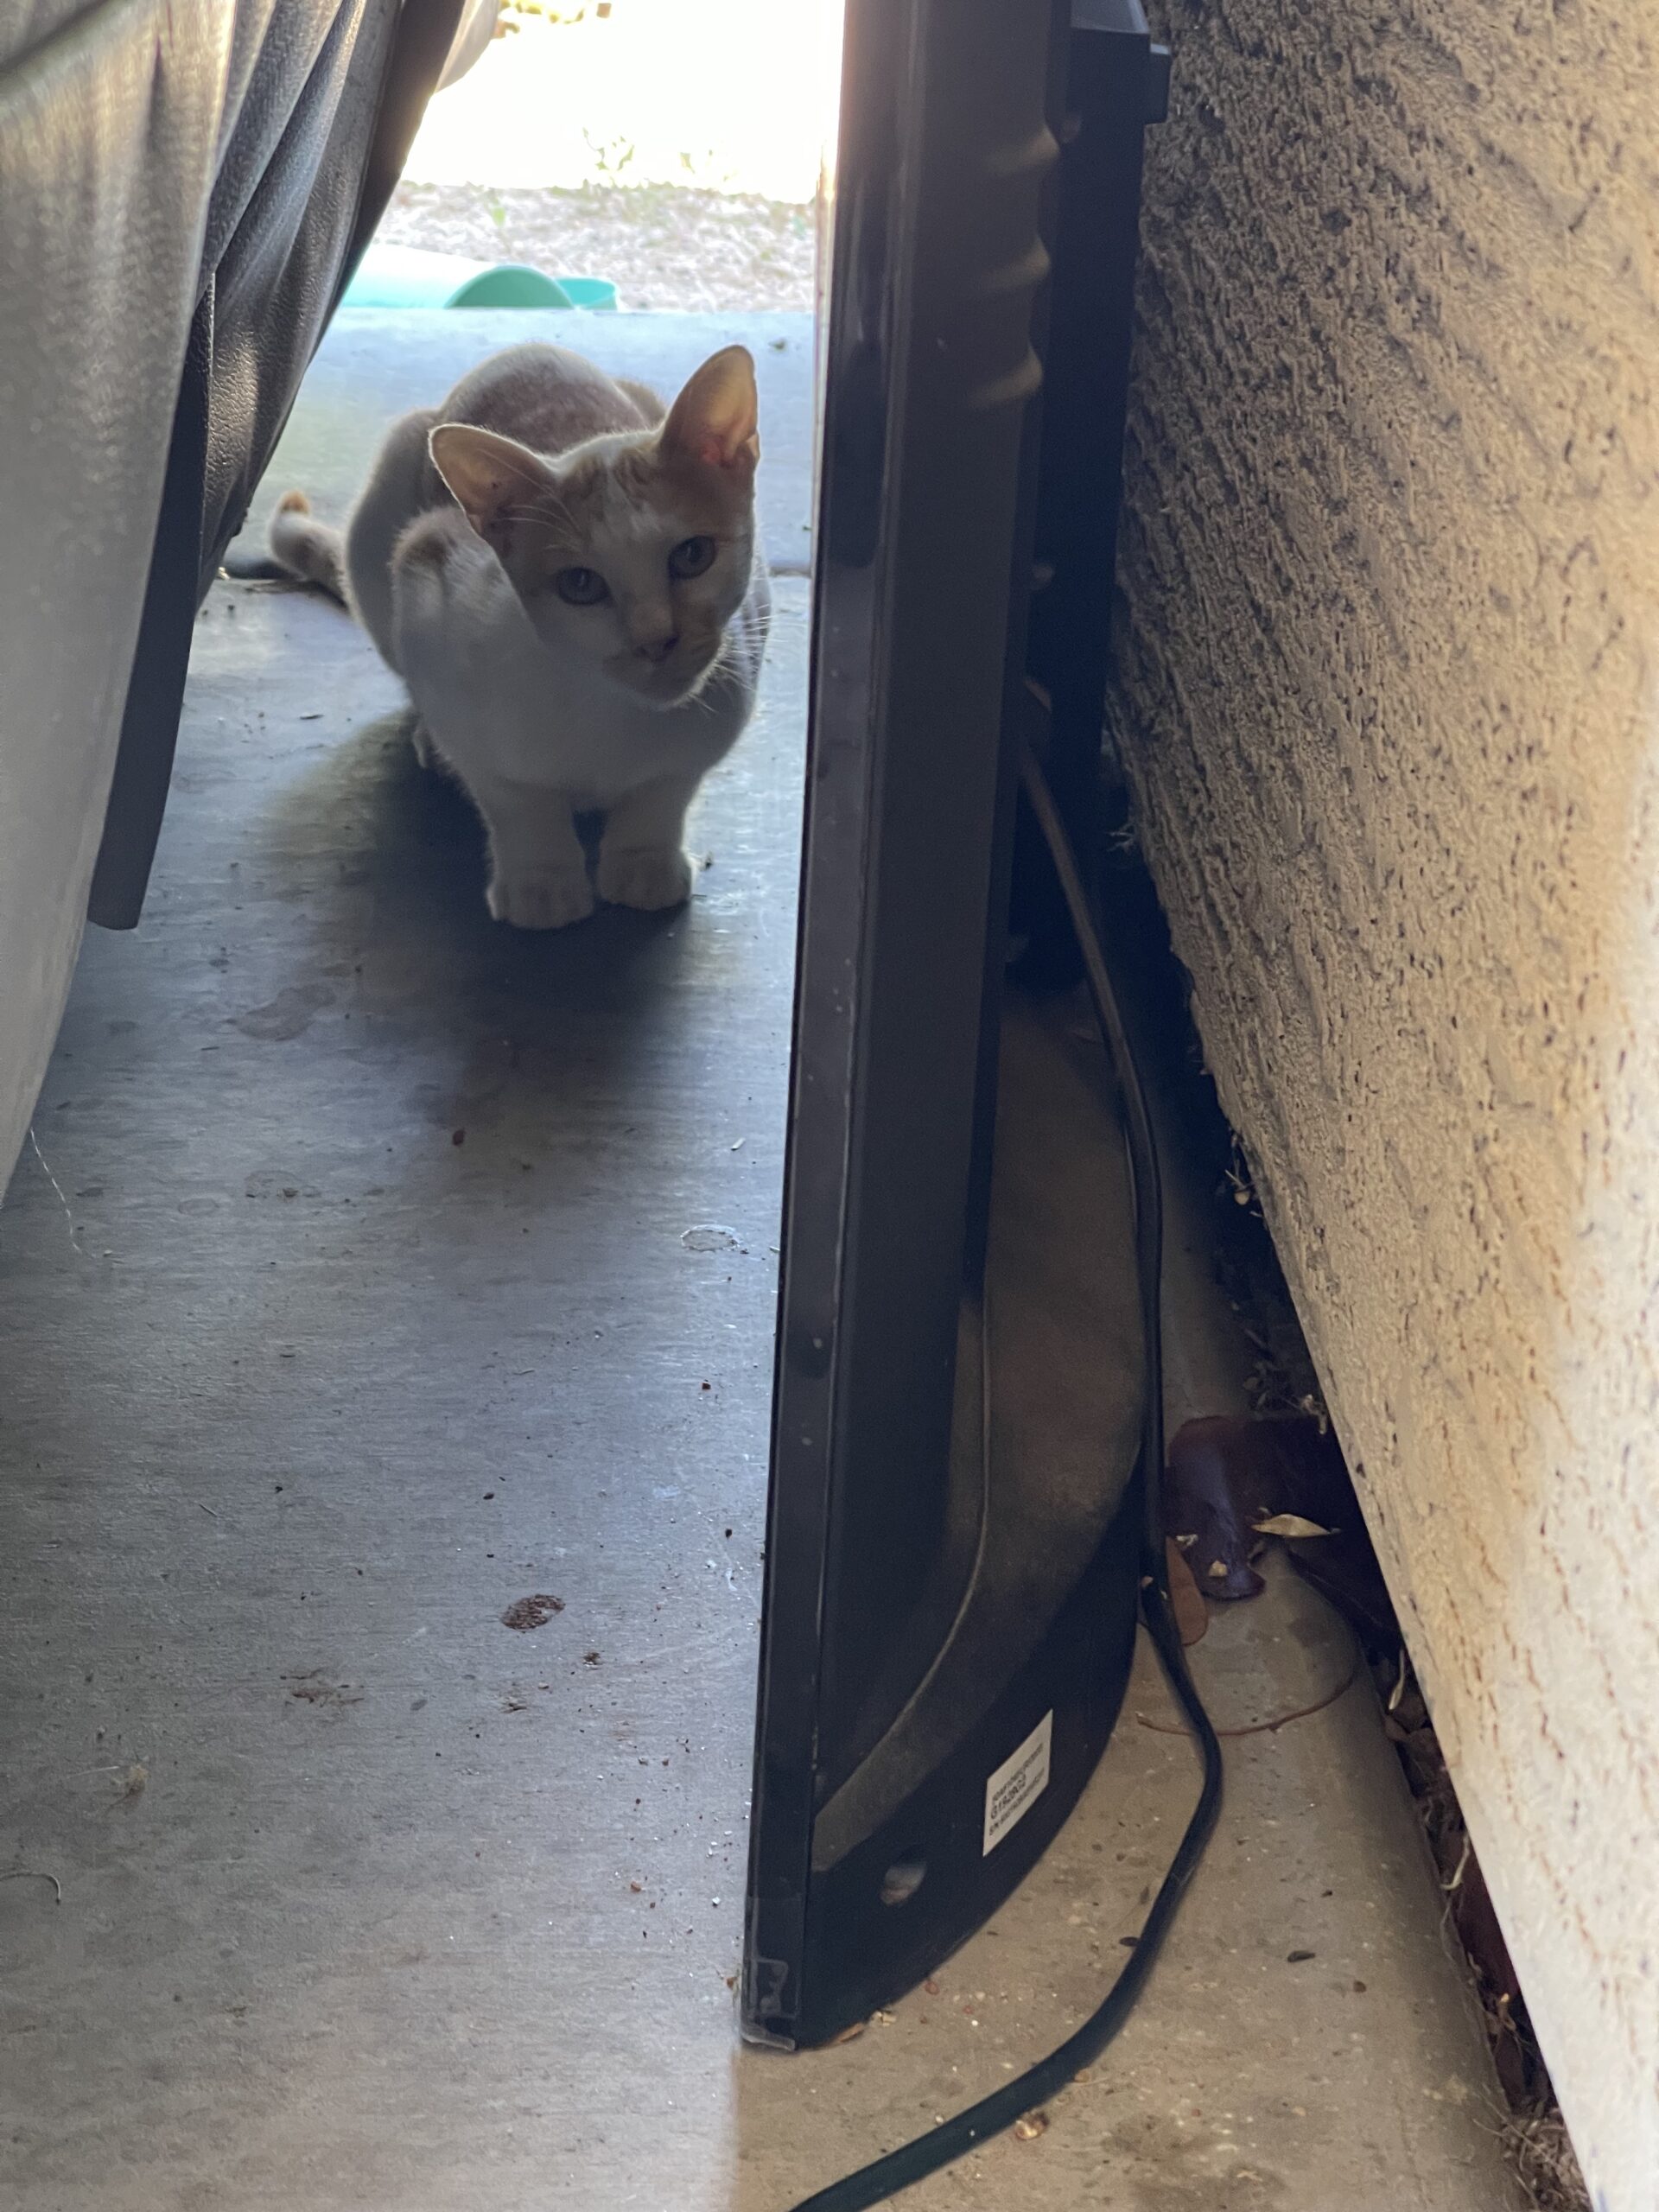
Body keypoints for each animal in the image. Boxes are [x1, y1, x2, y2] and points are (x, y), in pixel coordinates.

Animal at [267, 340, 774, 929]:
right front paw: (543, 880)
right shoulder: (430, 586)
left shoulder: (733, 677)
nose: (657, 640)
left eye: (693, 555)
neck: (611, 716)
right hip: (379, 529)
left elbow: (667, 787)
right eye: (581, 584)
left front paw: (643, 859)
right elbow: (511, 793)